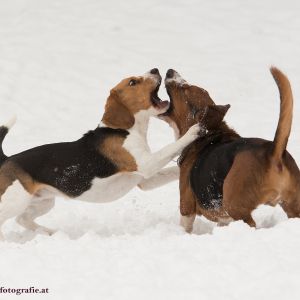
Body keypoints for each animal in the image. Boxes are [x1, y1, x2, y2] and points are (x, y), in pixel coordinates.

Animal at [162, 68, 300, 232]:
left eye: (184, 88)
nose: (170, 71)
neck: (209, 132)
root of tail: (273, 152)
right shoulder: (223, 218)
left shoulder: (186, 207)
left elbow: (185, 226)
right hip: (293, 206)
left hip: (234, 206)